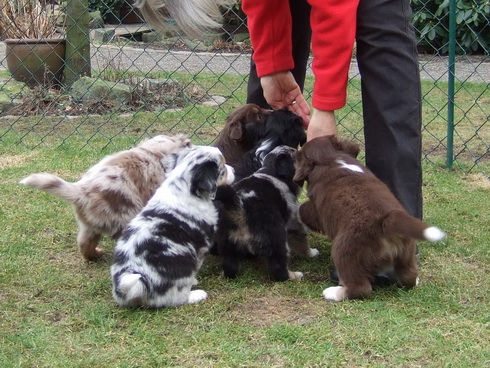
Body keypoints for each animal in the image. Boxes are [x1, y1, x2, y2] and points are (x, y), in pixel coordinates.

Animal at [19, 134, 191, 260]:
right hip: (124, 218)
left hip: (88, 227)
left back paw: (95, 255)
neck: (153, 152)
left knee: (84, 244)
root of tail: (81, 191)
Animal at [111, 145, 235, 310]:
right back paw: (196, 295)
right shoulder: (201, 247)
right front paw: (194, 282)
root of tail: (141, 283)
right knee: (176, 298)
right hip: (182, 269)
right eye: (223, 169)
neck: (183, 188)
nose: (233, 169)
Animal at [214, 146, 318, 282]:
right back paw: (294, 275)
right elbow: (302, 243)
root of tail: (239, 206)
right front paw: (312, 253)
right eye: (296, 154)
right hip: (277, 238)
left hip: (227, 243)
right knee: (278, 269)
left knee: (230, 267)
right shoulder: (294, 222)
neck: (272, 171)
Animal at [292, 135, 446, 302]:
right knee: (408, 277)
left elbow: (303, 210)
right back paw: (414, 280)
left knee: (361, 287)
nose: (293, 152)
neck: (331, 158)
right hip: (406, 252)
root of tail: (387, 220)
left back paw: (334, 293)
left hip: (344, 250)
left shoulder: (316, 209)